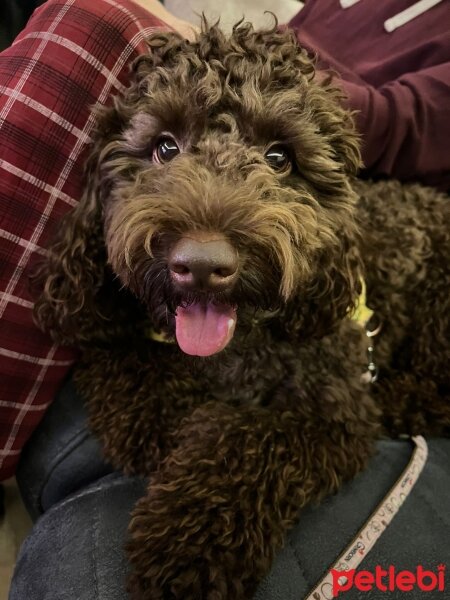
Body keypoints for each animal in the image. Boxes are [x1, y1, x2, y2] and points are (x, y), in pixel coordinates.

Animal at [32, 19, 450, 600]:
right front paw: (159, 416)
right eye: (165, 147)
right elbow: (120, 358)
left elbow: (249, 441)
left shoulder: (330, 412)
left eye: (279, 158)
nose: (202, 265)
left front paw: (184, 544)